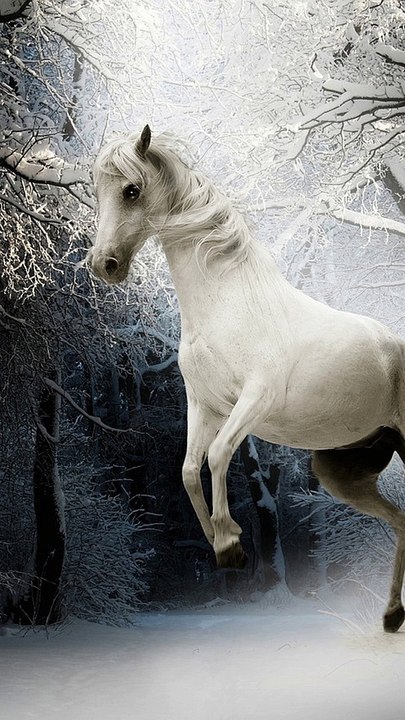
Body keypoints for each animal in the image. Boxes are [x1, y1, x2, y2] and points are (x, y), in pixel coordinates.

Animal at [89, 125, 405, 632]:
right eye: (97, 192)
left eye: (131, 190)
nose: (104, 265)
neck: (228, 304)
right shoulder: (204, 405)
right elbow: (188, 470)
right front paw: (226, 547)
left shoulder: (255, 399)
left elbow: (218, 456)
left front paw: (228, 541)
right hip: (343, 471)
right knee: (401, 520)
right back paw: (392, 615)